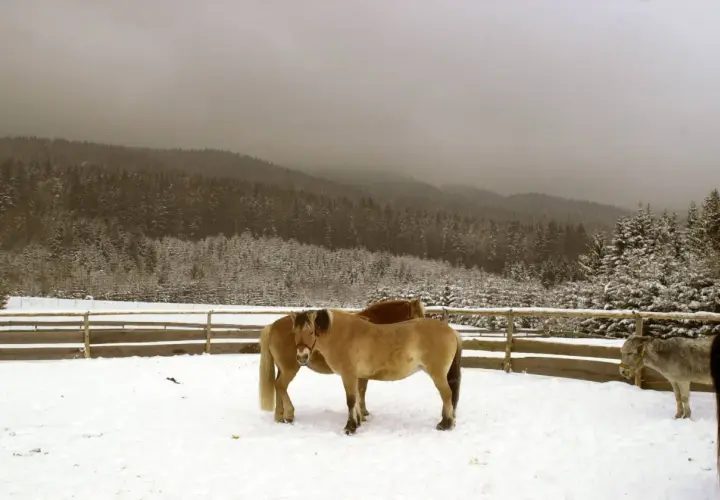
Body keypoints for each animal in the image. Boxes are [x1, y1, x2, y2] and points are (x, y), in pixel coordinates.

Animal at [258, 298, 426, 423]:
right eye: (417, 317)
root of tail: (272, 326)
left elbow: (360, 391)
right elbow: (361, 391)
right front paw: (362, 413)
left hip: (282, 368)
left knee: (278, 386)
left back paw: (279, 416)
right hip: (291, 367)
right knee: (280, 385)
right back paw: (289, 414)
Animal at [290, 308, 462, 435]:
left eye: (311, 332)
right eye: (294, 333)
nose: (302, 357)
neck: (342, 335)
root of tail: (452, 331)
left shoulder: (348, 376)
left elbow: (351, 400)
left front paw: (350, 427)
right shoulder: (357, 377)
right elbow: (357, 399)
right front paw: (357, 423)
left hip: (437, 374)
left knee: (447, 394)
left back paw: (446, 424)